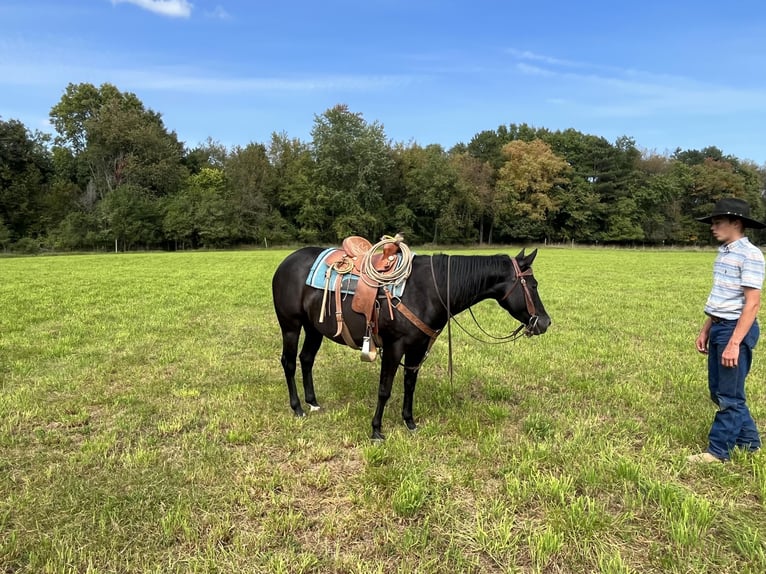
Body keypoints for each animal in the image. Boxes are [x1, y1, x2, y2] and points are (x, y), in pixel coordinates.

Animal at [272, 248, 548, 440]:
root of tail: (286, 262)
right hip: (291, 326)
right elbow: (385, 389)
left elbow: (409, 385)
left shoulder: (417, 347)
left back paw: (313, 402)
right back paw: (297, 408)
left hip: (314, 328)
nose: (545, 322)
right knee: (289, 362)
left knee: (306, 359)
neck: (428, 290)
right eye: (533, 285)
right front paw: (376, 430)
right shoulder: (394, 348)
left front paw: (410, 422)